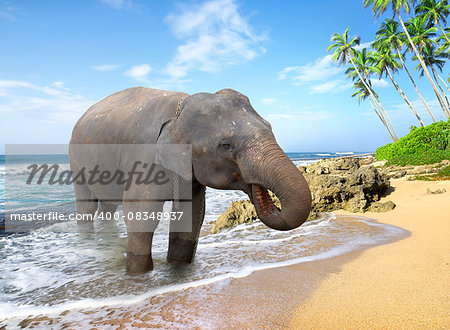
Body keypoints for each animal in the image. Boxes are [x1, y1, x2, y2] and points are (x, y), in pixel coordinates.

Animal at [68, 87, 312, 274]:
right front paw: (139, 276)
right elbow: (142, 215)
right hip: (76, 160)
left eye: (270, 127)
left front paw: (177, 268)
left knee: (107, 205)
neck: (179, 109)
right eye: (226, 145)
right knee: (87, 206)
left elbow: (191, 215)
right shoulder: (143, 158)